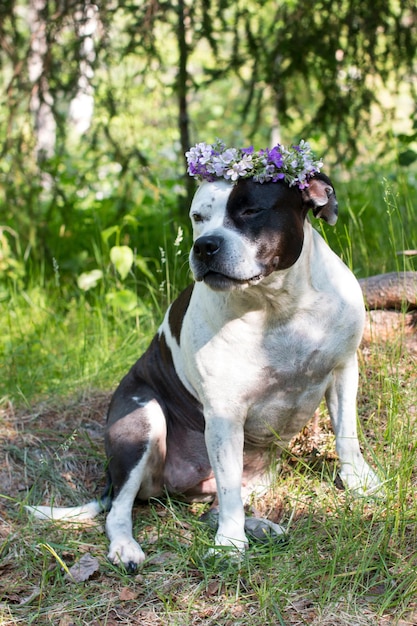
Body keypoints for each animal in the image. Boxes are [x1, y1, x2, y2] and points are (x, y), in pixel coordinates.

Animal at [28, 173, 380, 568]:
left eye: (250, 211)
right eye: (198, 217)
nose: (205, 246)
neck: (277, 304)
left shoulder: (343, 370)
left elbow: (346, 435)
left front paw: (360, 483)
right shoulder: (224, 415)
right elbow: (228, 492)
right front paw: (230, 544)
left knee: (216, 506)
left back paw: (260, 528)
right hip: (140, 423)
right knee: (120, 509)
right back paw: (126, 548)